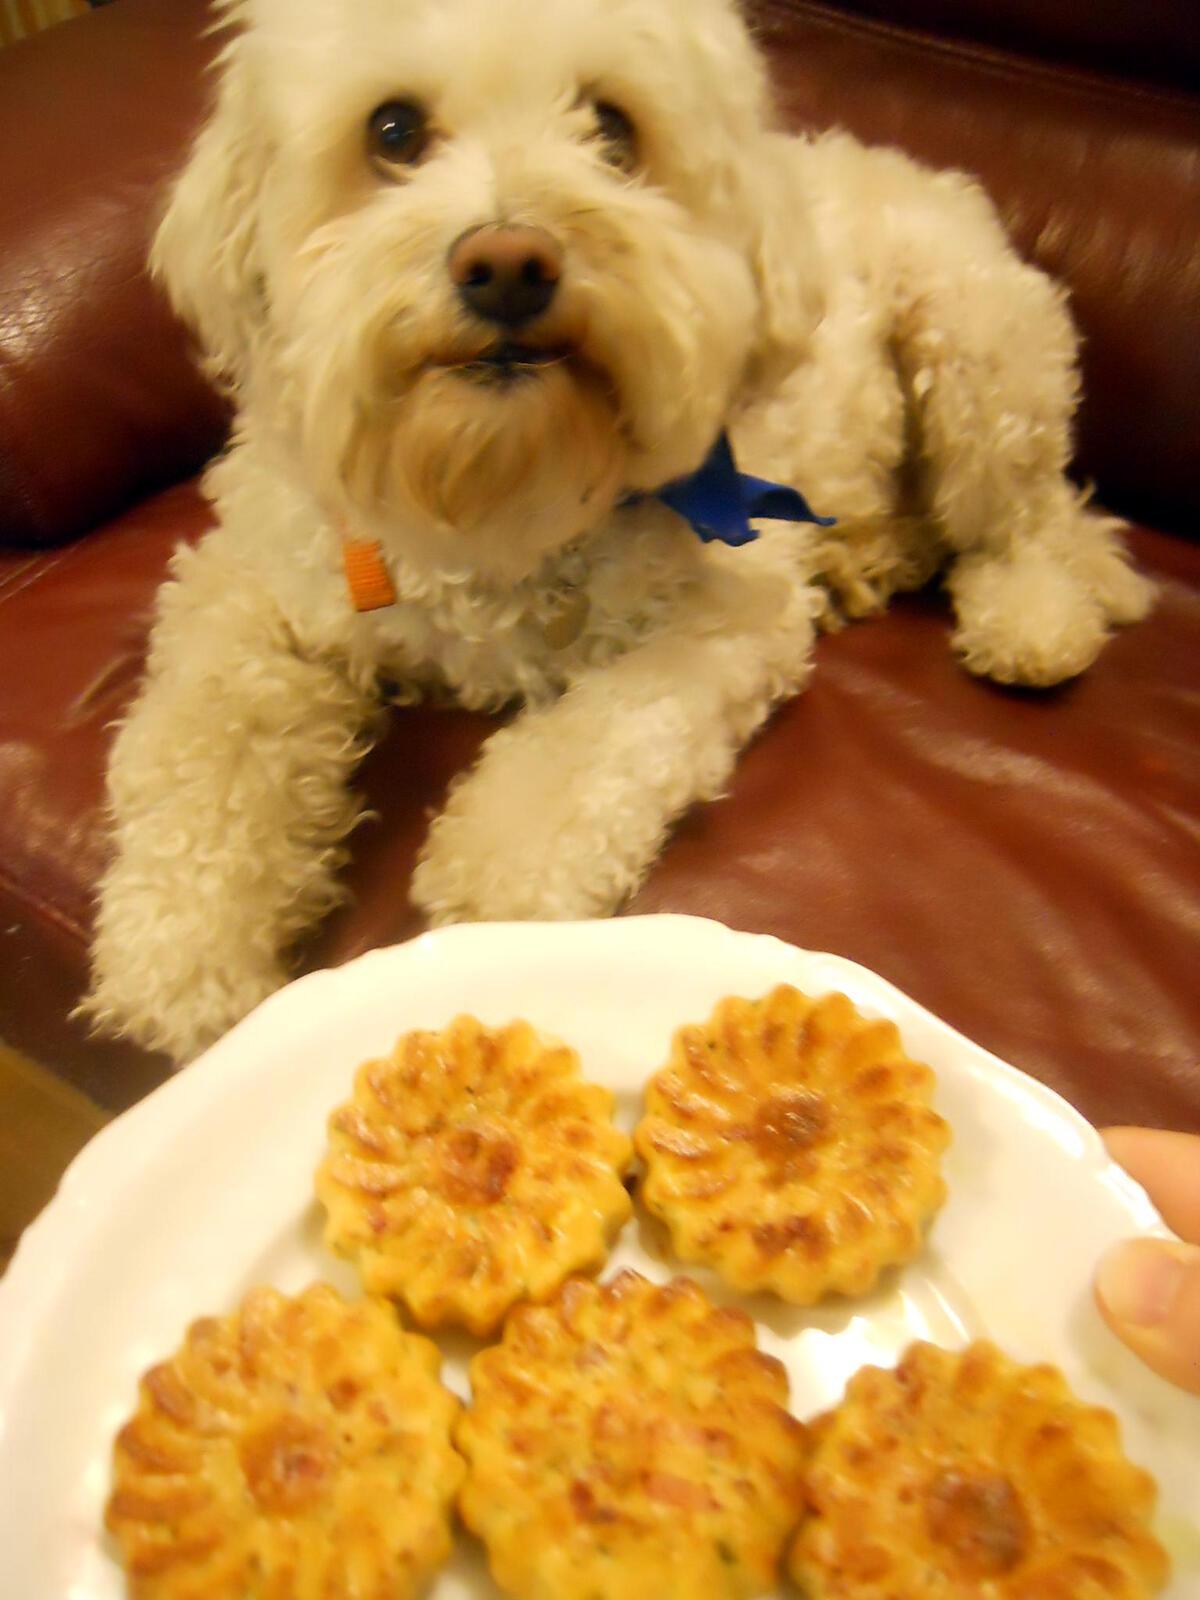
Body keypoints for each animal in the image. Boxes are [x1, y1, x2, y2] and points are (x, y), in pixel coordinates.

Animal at [84, 0, 1158, 1062]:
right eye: (392, 131)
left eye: (612, 128)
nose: (507, 265)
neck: (497, 482)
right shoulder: (252, 580)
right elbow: (205, 743)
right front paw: (181, 942)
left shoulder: (728, 618)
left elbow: (591, 742)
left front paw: (498, 883)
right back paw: (872, 556)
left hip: (979, 354)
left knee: (1038, 519)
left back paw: (1032, 619)